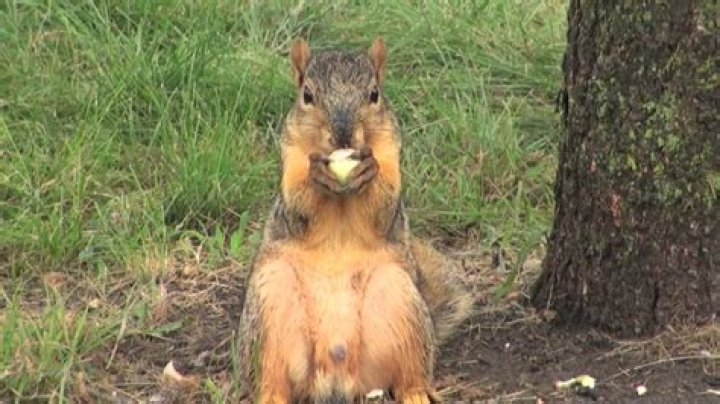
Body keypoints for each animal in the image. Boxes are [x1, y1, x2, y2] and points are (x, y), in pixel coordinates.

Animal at [237, 38, 475, 404]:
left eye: (374, 94)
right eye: (307, 94)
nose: (343, 136)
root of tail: (334, 375)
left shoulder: (391, 157)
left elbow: (383, 209)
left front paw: (368, 171)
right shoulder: (290, 163)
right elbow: (298, 211)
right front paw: (317, 175)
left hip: (401, 303)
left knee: (410, 376)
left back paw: (417, 394)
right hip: (270, 309)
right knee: (270, 379)